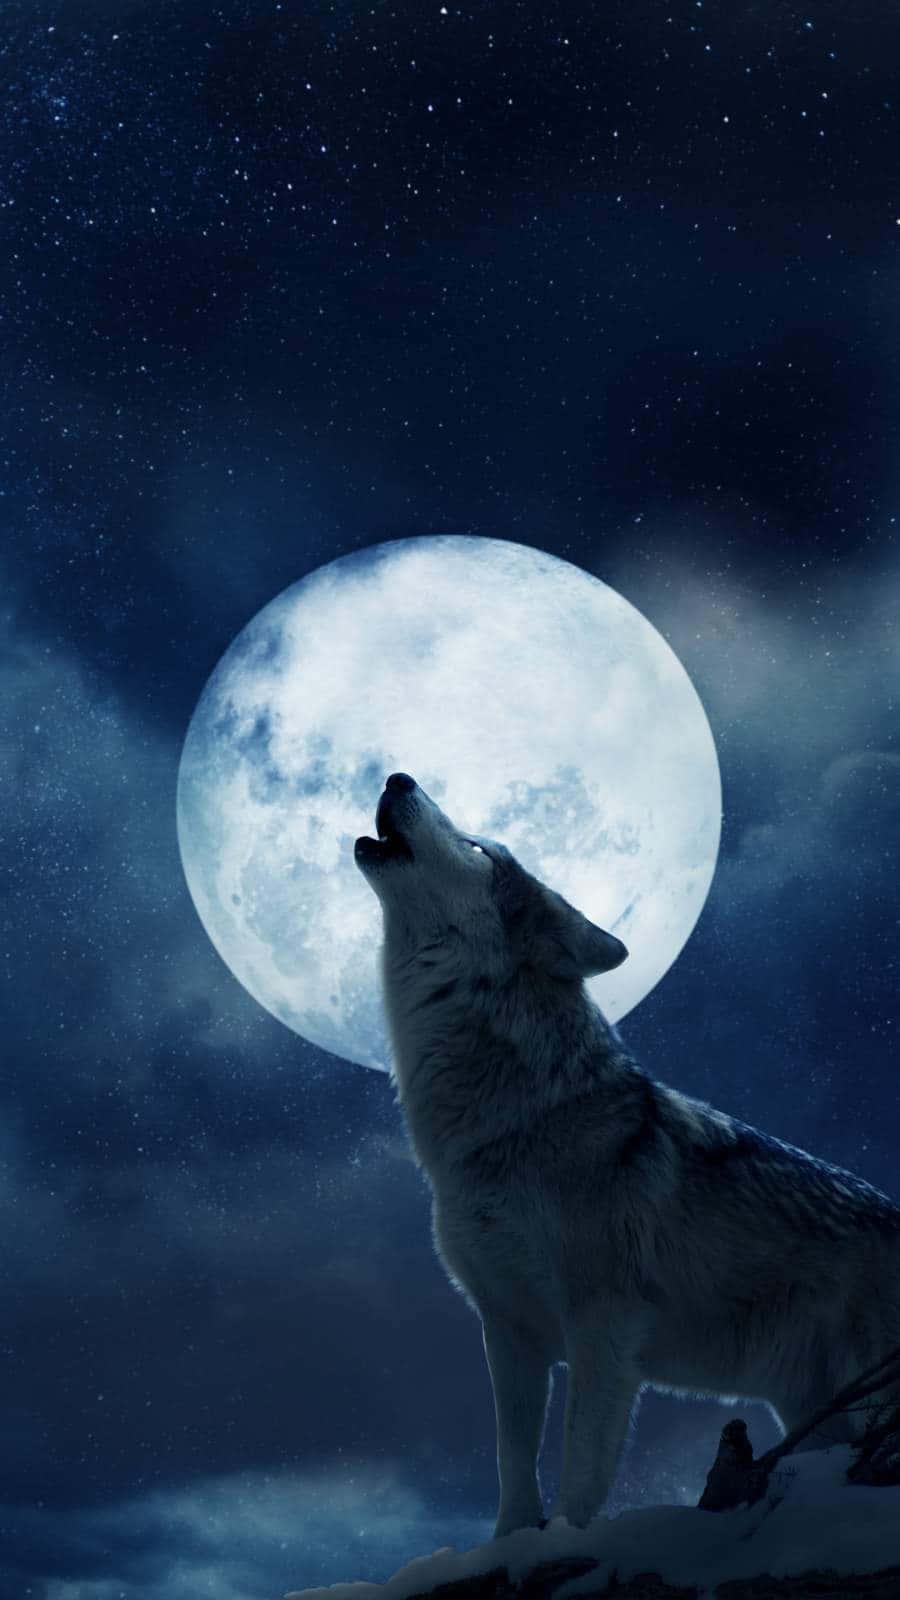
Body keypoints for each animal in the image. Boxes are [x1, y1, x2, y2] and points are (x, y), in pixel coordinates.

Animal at [355, 772, 900, 1535]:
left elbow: (581, 1467)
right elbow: (513, 1463)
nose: (398, 777)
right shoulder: (507, 1330)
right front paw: (511, 1540)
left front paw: (560, 1539)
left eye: (479, 849)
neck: (512, 1121)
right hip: (811, 1413)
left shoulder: (603, 1329)